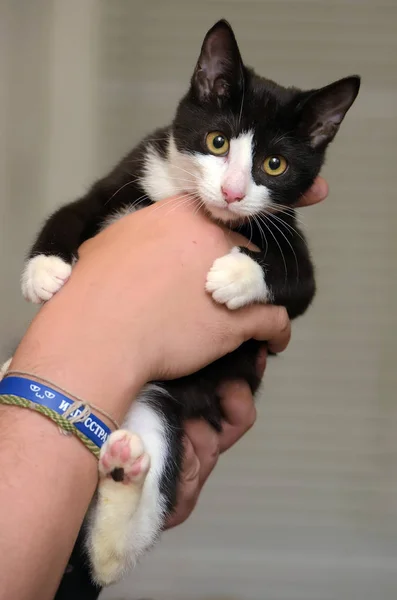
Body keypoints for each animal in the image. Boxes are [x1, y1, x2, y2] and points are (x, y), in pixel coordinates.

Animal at [0, 19, 358, 592]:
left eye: (273, 164)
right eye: (217, 141)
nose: (233, 192)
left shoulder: (291, 249)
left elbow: (296, 281)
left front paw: (233, 274)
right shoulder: (127, 173)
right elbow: (69, 211)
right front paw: (44, 270)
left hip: (158, 408)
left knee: (108, 555)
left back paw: (124, 469)